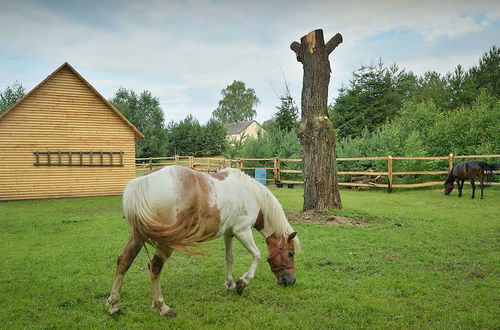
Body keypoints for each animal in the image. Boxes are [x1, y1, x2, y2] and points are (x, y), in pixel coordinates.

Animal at [107, 166, 298, 316]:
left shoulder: (229, 233)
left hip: (138, 236)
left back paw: (115, 306)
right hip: (165, 241)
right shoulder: (242, 231)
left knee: (124, 261)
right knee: (154, 267)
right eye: (291, 253)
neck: (251, 194)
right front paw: (241, 283)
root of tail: (143, 181)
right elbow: (257, 256)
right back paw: (162, 307)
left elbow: (229, 258)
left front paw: (229, 284)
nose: (290, 281)